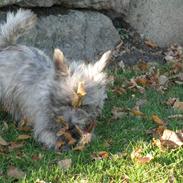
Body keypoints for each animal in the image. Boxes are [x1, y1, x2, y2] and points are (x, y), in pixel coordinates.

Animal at [0, 9, 111, 151]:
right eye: (64, 103)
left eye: (84, 106)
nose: (70, 125)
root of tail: (7, 46)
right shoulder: (44, 126)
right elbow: (51, 136)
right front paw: (63, 144)